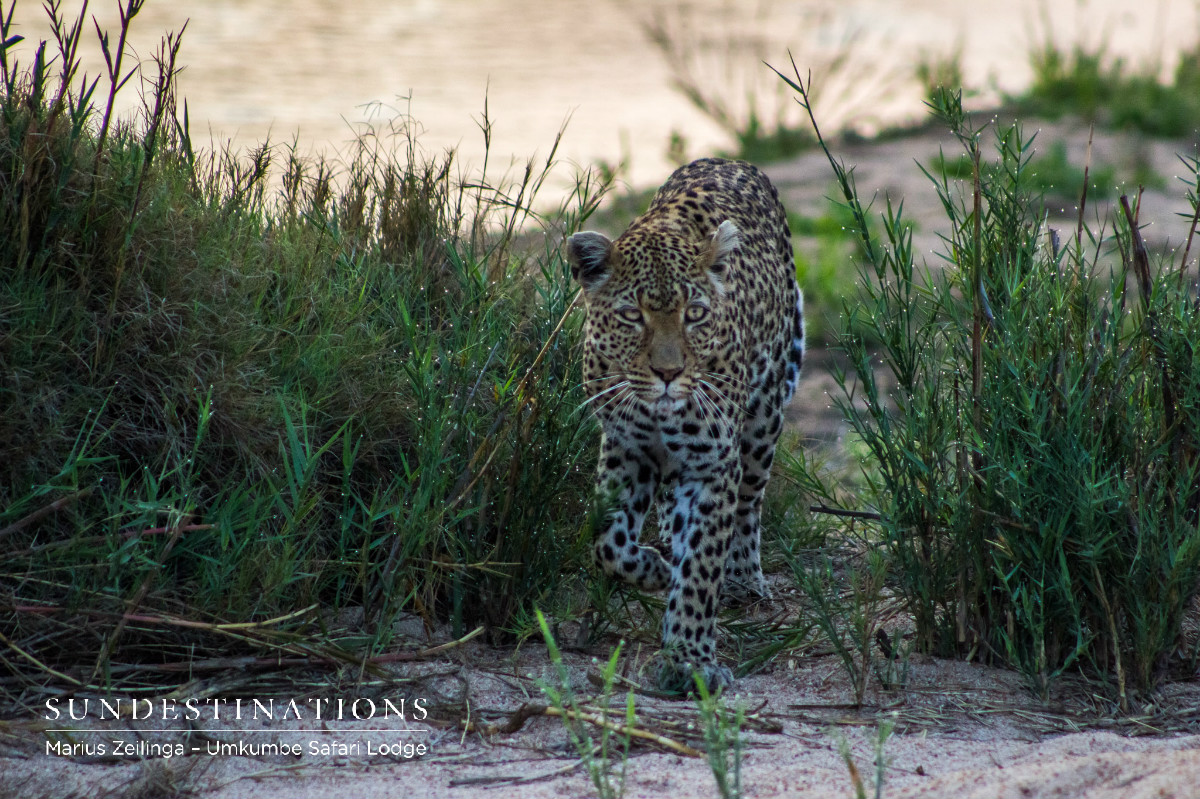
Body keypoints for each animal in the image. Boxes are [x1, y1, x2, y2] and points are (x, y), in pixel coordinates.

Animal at [566, 157, 804, 692]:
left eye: (694, 314)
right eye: (632, 316)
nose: (669, 373)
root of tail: (730, 160)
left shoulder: (711, 464)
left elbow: (701, 567)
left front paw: (689, 660)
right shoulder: (625, 449)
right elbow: (606, 543)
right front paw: (654, 568)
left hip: (765, 417)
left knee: (748, 503)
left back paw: (741, 577)